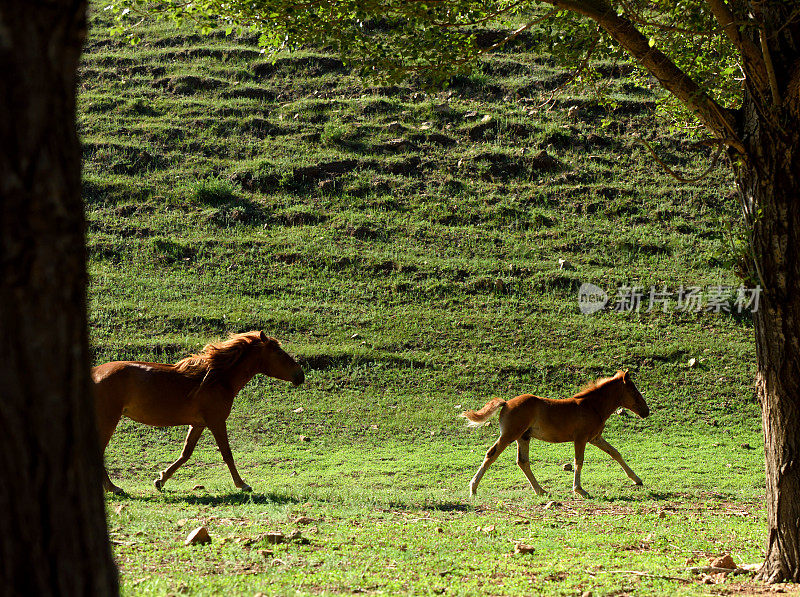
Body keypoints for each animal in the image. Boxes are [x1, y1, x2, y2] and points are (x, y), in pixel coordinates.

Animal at [92, 330, 304, 494]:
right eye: (279, 352)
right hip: (108, 420)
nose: (300, 375)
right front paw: (242, 484)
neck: (217, 379)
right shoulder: (216, 422)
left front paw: (161, 480)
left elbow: (186, 453)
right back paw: (113, 488)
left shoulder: (198, 424)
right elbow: (227, 454)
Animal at [462, 370, 648, 496]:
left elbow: (615, 453)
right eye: (633, 391)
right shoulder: (580, 439)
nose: (646, 411)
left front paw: (637, 479)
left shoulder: (595, 438)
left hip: (523, 437)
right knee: (491, 454)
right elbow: (579, 461)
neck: (592, 406)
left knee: (523, 462)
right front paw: (579, 489)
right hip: (510, 435)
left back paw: (540, 490)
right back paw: (473, 488)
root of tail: (506, 403)